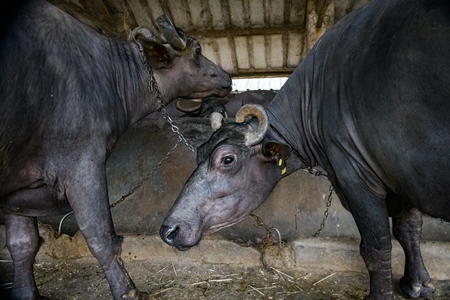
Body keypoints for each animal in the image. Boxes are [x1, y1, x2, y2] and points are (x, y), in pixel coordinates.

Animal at [0, 0, 230, 300]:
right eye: (198, 51)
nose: (227, 76)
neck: (108, 75)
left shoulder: (20, 178)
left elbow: (22, 242)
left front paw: (26, 293)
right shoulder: (82, 164)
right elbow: (101, 236)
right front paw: (128, 291)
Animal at [161, 0, 450, 298]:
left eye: (227, 159)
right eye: (199, 152)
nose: (169, 230)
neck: (315, 101)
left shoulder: (357, 177)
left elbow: (376, 245)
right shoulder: (402, 179)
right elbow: (409, 229)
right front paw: (417, 283)